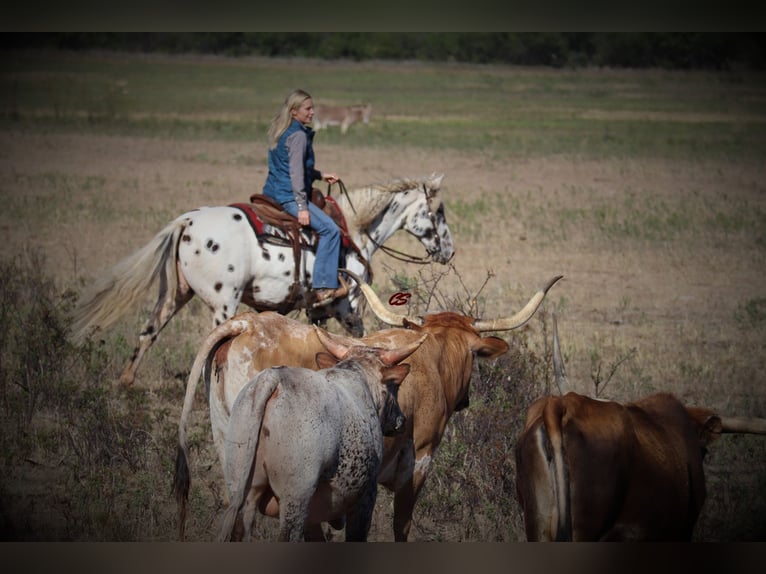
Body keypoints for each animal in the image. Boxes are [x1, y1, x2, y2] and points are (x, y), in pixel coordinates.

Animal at [70, 173, 456, 384]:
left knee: (148, 331)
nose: (449, 251)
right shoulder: (348, 305)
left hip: (175, 294)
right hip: (223, 304)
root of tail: (187, 221)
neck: (354, 230)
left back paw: (125, 382)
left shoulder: (317, 311)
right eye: (437, 212)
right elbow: (358, 338)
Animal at [176, 276, 564, 544]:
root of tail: (246, 323)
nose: (465, 400)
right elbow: (401, 525)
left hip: (234, 455)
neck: (433, 357)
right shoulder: (419, 461)